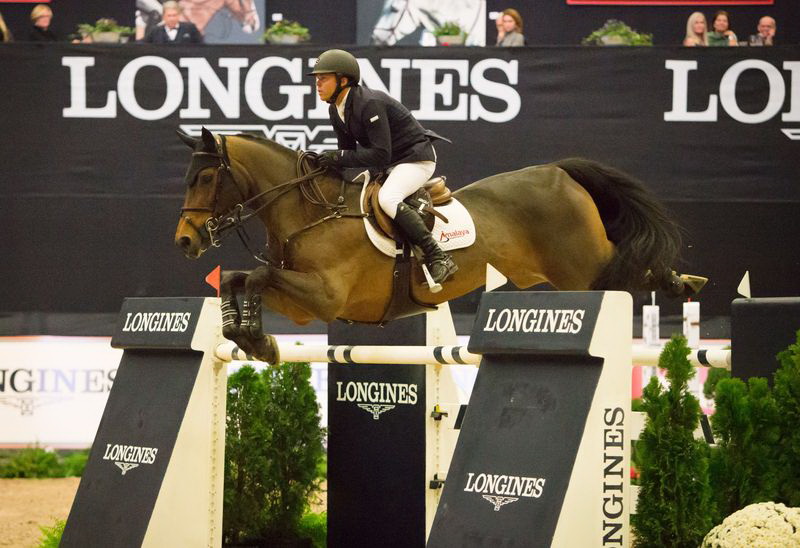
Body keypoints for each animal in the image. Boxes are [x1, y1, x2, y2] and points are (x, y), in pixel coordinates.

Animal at [175, 126, 708, 362]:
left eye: (206, 178)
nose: (185, 240)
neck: (308, 213)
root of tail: (558, 171)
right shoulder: (304, 307)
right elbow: (241, 277)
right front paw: (245, 334)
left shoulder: (324, 297)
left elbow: (258, 276)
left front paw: (257, 339)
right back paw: (685, 281)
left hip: (585, 269)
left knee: (634, 266)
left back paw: (683, 282)